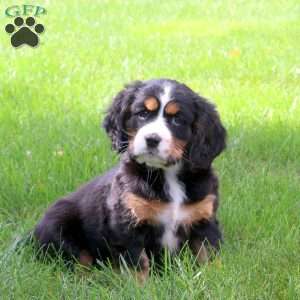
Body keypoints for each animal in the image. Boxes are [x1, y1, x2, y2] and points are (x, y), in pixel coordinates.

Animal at [34, 78, 226, 282]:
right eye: (142, 114)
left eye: (177, 120)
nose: (152, 139)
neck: (167, 175)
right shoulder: (127, 222)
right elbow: (137, 262)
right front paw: (140, 286)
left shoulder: (204, 219)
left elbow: (208, 255)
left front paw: (212, 280)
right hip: (58, 226)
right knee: (80, 262)